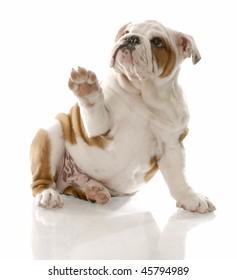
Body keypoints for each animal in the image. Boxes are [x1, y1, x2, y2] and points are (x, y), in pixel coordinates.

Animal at [29, 20, 215, 212]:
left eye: (157, 42)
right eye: (127, 32)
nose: (132, 38)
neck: (143, 93)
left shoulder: (172, 145)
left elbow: (178, 176)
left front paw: (190, 197)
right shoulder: (98, 129)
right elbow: (94, 108)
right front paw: (86, 88)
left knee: (74, 187)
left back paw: (93, 190)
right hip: (50, 133)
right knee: (40, 181)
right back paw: (49, 194)